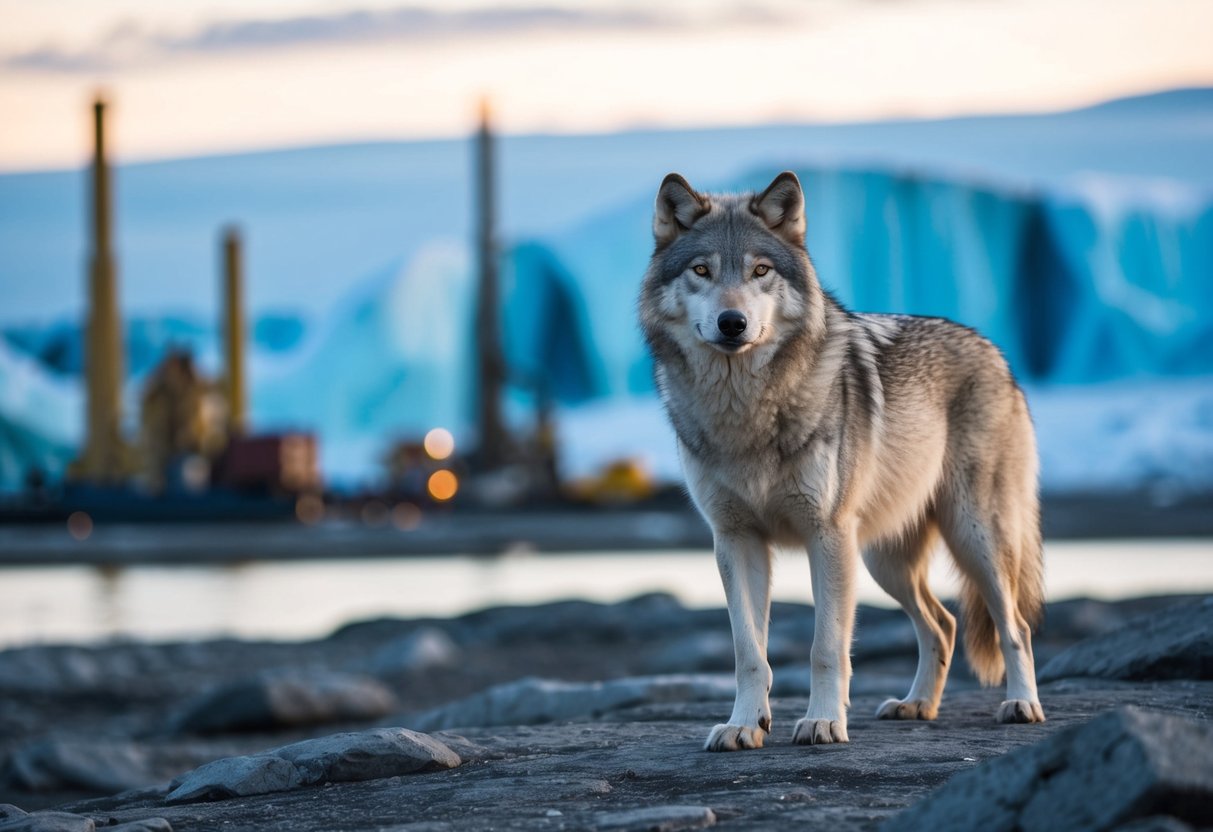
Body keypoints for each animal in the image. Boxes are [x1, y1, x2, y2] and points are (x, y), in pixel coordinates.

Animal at [638, 171, 1046, 752]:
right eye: (702, 270)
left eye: (760, 271)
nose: (732, 322)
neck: (746, 413)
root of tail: (996, 353)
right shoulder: (735, 541)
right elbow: (748, 652)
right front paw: (744, 724)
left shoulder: (826, 535)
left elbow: (825, 646)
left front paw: (824, 722)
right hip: (883, 559)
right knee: (943, 624)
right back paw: (916, 705)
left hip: (974, 539)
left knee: (1016, 627)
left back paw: (1022, 705)